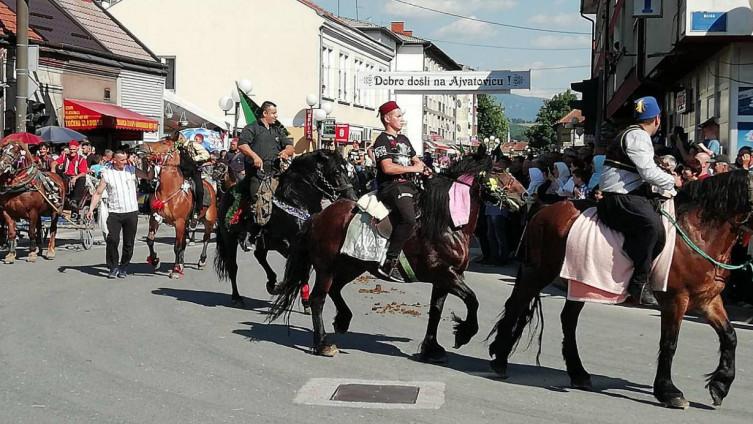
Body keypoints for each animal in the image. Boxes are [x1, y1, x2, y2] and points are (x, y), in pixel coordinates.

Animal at [142, 139, 217, 278]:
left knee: (206, 238)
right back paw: (182, 263)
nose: (141, 146)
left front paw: (175, 270)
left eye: (164, 143)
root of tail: (210, 186)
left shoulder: (179, 222)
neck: (168, 191)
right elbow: (150, 240)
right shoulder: (154, 219)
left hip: (209, 219)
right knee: (185, 242)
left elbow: (177, 247)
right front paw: (155, 260)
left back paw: (201, 260)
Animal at [214, 151, 358, 306]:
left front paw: (304, 300)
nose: (353, 198)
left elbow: (303, 273)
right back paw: (237, 297)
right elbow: (299, 272)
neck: (296, 199)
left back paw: (272, 283)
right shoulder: (290, 246)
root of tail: (226, 194)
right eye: (336, 172)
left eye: (347, 171)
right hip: (229, 239)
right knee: (232, 266)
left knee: (259, 255)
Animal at [272, 151, 528, 360]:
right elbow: (472, 300)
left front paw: (431, 349)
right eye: (498, 171)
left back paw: (343, 320)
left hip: (352, 265)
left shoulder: (444, 279)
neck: (447, 223)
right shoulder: (446, 274)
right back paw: (323, 344)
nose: (525, 195)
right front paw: (463, 334)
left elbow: (436, 311)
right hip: (326, 267)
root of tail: (318, 216)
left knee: (335, 290)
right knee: (318, 299)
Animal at [488, 171, 752, 410]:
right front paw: (669, 392)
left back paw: (578, 373)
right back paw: (500, 359)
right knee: (516, 305)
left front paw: (720, 385)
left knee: (567, 320)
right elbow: (670, 343)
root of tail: (543, 209)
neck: (698, 233)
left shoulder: (707, 299)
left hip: (580, 281)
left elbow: (730, 336)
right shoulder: (676, 300)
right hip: (539, 272)